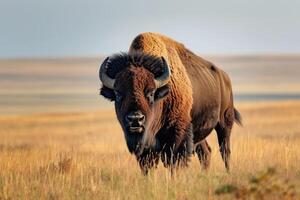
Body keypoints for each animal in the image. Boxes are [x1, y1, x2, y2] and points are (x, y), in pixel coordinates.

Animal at [98, 32, 241, 174]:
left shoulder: (178, 134)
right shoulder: (146, 148)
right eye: (118, 94)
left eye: (151, 93)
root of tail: (225, 77)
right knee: (205, 152)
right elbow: (147, 165)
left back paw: (228, 173)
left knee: (225, 150)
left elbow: (174, 163)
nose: (135, 119)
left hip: (225, 123)